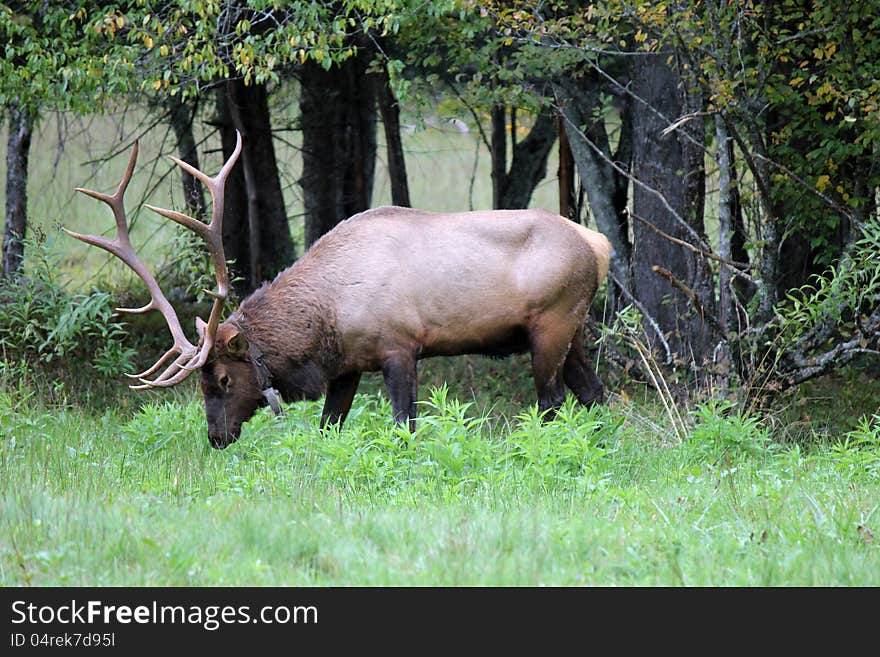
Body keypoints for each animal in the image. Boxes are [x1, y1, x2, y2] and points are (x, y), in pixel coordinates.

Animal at [69, 133, 608, 452]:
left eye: (221, 378)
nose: (216, 437)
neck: (327, 318)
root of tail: (597, 245)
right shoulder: (347, 365)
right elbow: (330, 425)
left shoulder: (399, 347)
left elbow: (404, 424)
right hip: (575, 331)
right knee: (596, 395)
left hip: (551, 326)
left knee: (553, 402)